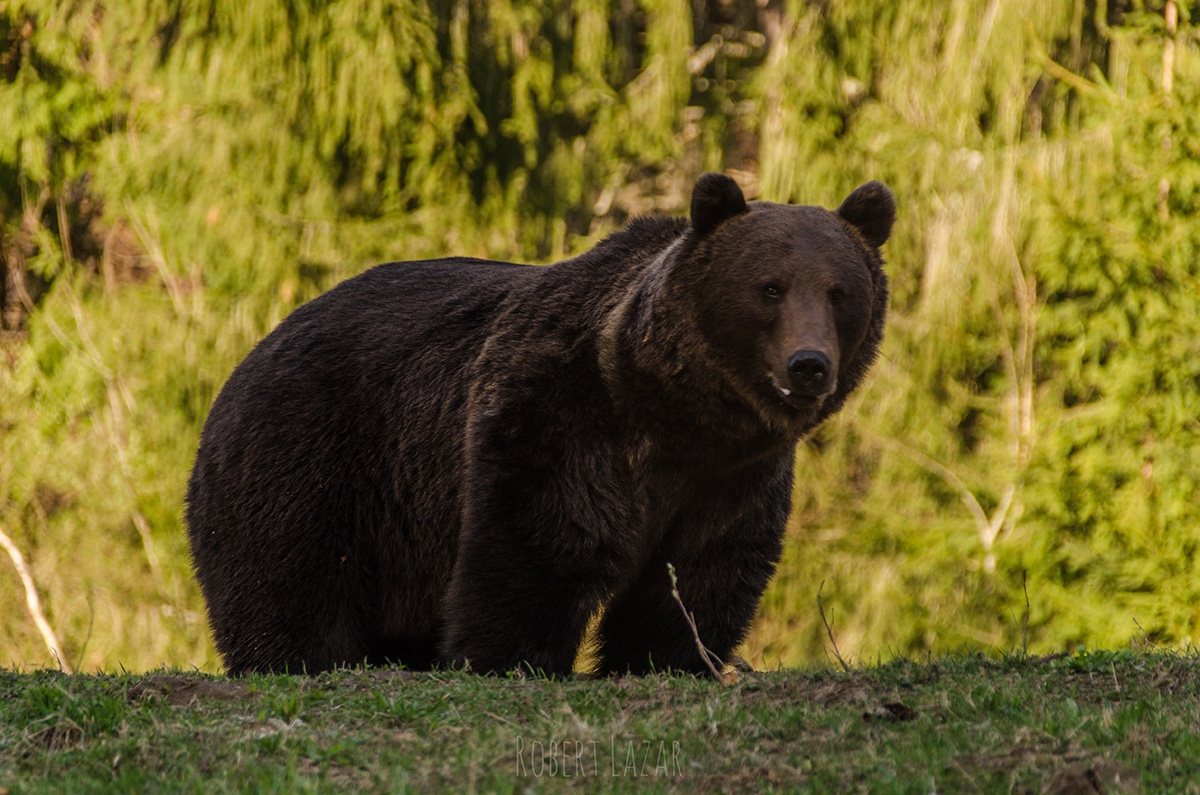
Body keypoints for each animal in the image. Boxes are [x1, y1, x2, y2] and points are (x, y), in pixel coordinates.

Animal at [185, 173, 895, 676]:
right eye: (770, 287)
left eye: (839, 292)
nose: (809, 364)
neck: (674, 415)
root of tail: (256, 348)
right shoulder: (558, 413)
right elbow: (542, 542)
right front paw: (511, 657)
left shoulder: (734, 474)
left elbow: (700, 570)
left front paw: (668, 659)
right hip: (314, 458)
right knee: (289, 579)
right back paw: (299, 657)